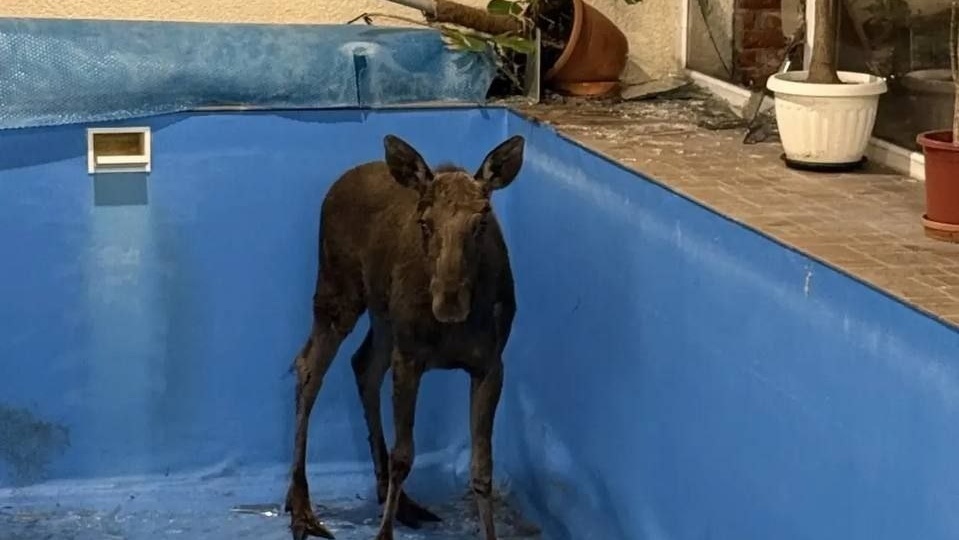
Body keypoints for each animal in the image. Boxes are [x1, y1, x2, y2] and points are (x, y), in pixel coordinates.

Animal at [284, 133, 525, 540]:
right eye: (425, 222)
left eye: (481, 221)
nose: (449, 300)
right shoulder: (410, 357)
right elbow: (404, 456)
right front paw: (383, 534)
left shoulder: (491, 364)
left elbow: (482, 468)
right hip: (338, 291)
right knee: (308, 367)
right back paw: (301, 505)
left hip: (383, 319)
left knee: (363, 365)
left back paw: (394, 499)